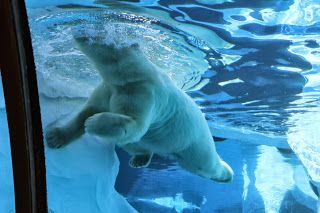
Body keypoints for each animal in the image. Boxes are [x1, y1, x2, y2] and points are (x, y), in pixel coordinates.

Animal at [45, 35, 232, 182]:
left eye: (102, 34)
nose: (81, 33)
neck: (131, 78)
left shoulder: (144, 93)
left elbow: (136, 123)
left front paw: (92, 123)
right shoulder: (108, 89)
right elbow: (88, 110)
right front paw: (55, 137)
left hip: (194, 144)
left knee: (206, 165)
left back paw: (227, 174)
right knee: (133, 143)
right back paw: (140, 159)